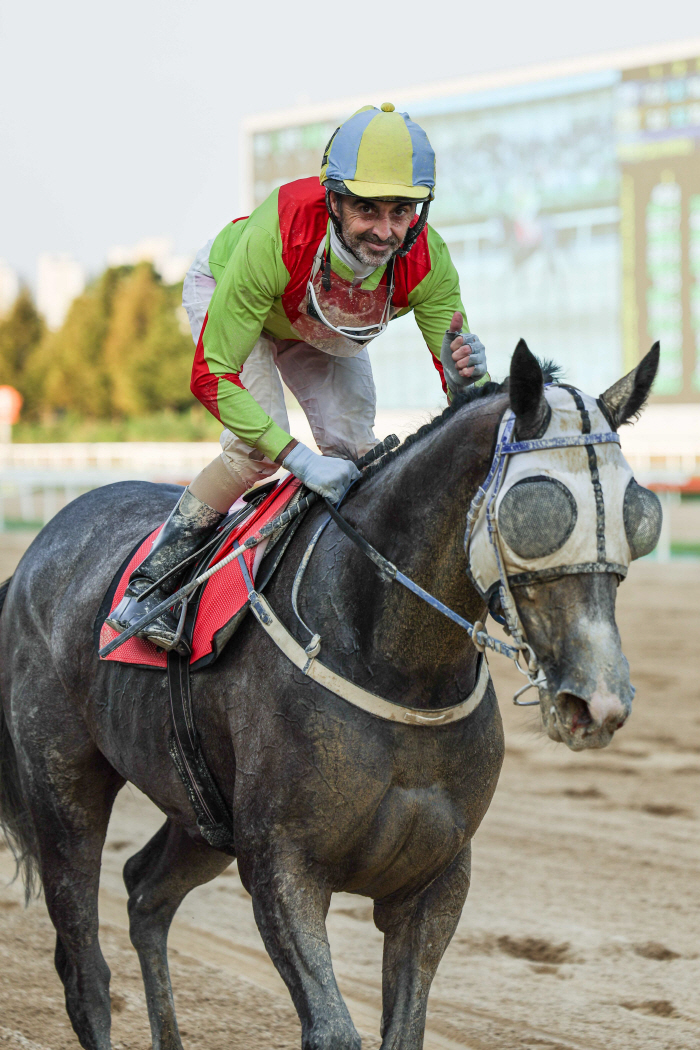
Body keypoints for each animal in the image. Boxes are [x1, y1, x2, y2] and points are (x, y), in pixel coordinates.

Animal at [0, 340, 659, 1045]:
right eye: (537, 511)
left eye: (637, 514)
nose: (598, 701)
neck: (395, 663)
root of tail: (36, 553)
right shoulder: (283, 867)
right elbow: (333, 1029)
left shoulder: (436, 881)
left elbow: (405, 1026)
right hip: (63, 788)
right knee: (84, 967)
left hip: (200, 812)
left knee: (146, 891)